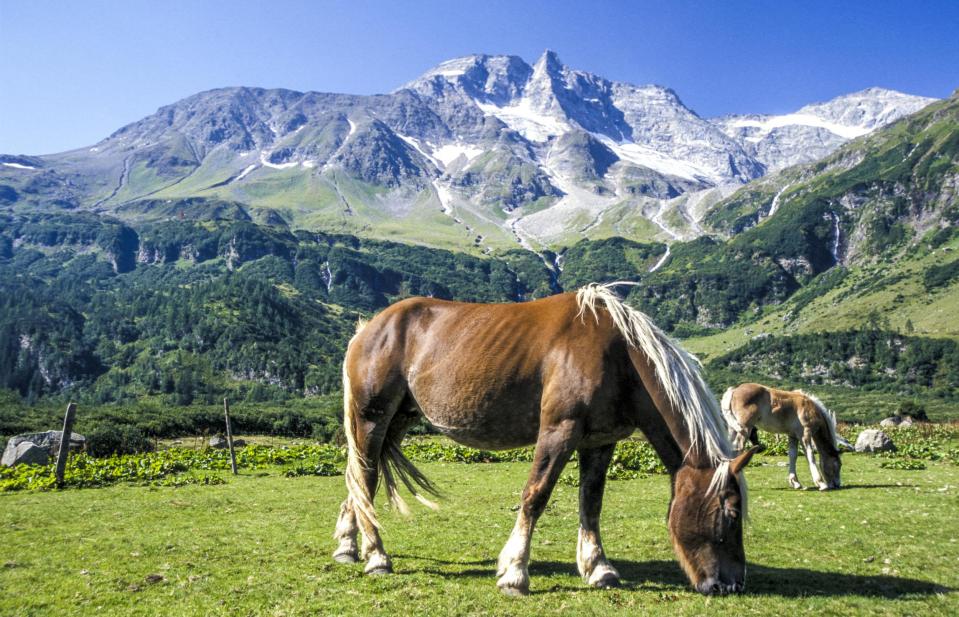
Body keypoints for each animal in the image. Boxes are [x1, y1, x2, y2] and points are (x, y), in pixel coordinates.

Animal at [334, 282, 760, 592]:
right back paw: (377, 558)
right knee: (366, 478)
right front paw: (514, 573)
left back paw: (349, 547)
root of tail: (369, 329)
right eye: (730, 513)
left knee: (361, 480)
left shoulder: (600, 441)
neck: (619, 355)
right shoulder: (559, 430)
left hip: (397, 421)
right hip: (371, 420)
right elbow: (535, 496)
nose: (730, 585)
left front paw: (598, 568)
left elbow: (591, 503)